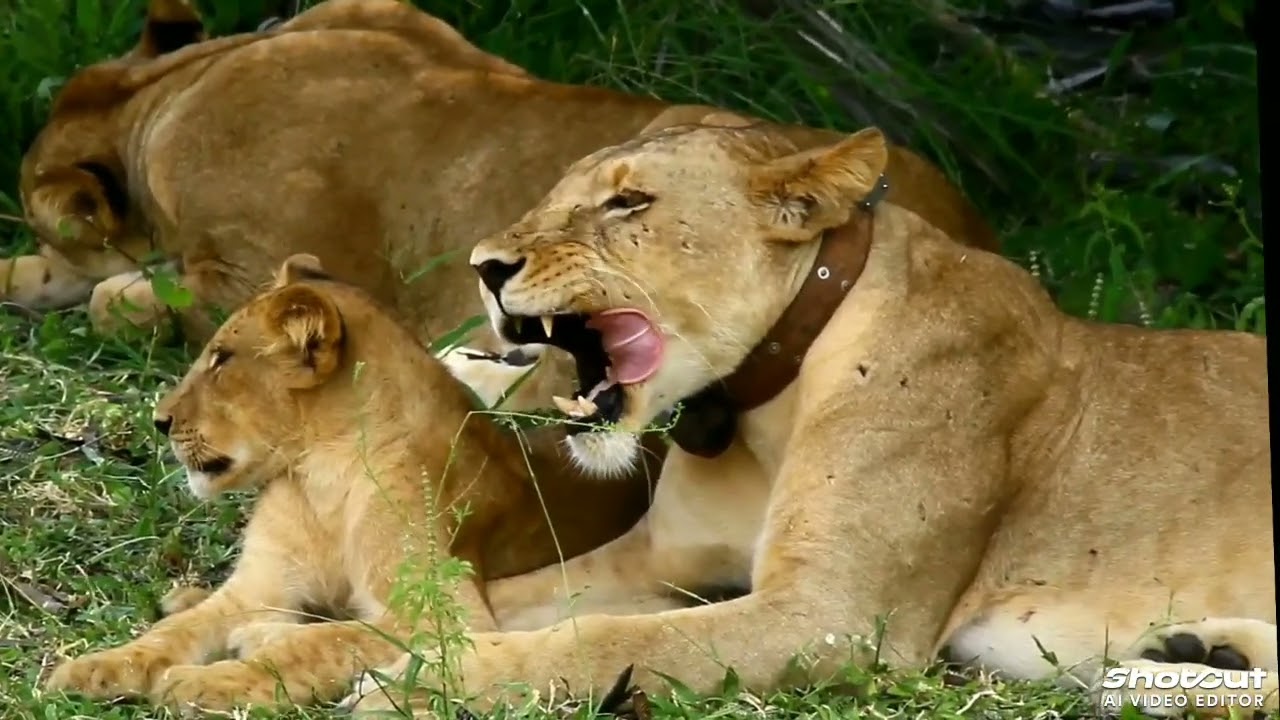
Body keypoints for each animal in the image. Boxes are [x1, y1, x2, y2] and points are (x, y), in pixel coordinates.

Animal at [39, 253, 692, 712]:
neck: (319, 478)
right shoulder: (258, 586)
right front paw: (92, 669)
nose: (159, 421)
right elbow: (176, 632)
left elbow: (324, 643)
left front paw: (206, 683)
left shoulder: (445, 620)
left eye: (222, 359)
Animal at [342, 118, 1275, 718]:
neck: (759, 406)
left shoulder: (834, 615)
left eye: (629, 204)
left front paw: (414, 684)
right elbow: (500, 603)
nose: (485, 267)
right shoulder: (658, 565)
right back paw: (1191, 661)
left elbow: (603, 643)